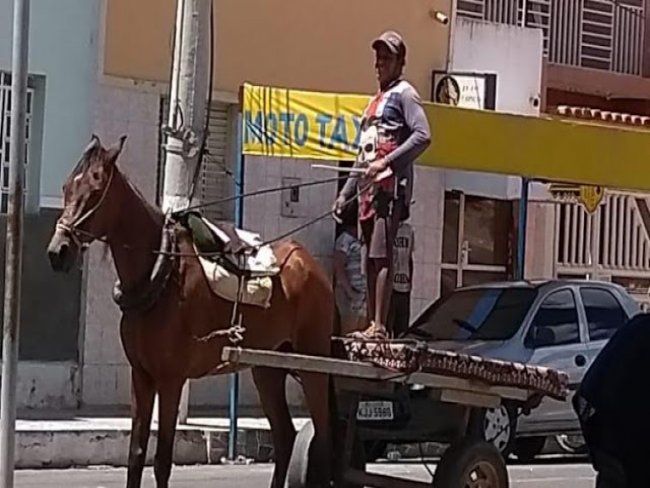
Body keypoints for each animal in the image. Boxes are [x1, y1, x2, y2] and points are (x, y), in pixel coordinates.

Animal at [46, 134, 332, 488]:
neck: (160, 274)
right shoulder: (141, 375)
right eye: (67, 187)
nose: (57, 251)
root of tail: (311, 265)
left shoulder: (171, 380)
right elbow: (136, 454)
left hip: (314, 366)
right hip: (267, 368)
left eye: (96, 189)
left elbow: (162, 460)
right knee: (284, 436)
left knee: (324, 439)